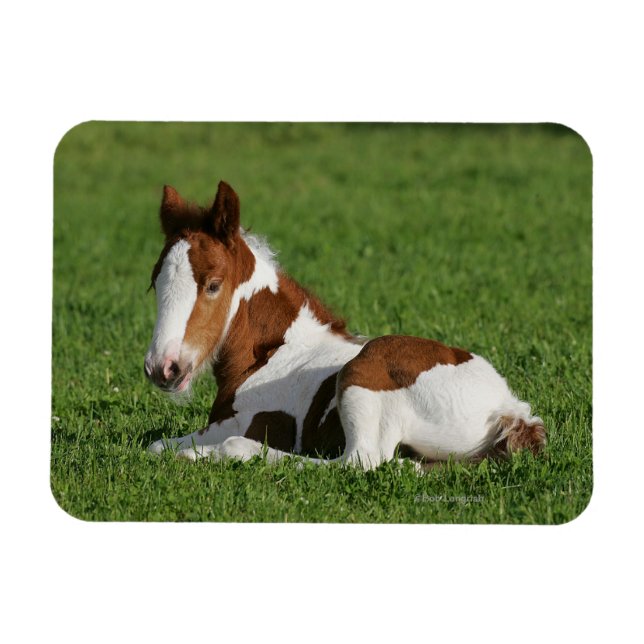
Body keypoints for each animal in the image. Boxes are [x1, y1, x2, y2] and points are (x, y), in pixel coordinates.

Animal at [145, 181, 546, 468]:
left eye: (213, 284)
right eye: (154, 282)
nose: (163, 368)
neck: (272, 353)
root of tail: (508, 409)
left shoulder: (243, 421)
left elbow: (166, 444)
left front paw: (198, 453)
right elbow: (155, 445)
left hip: (363, 371)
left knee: (357, 461)